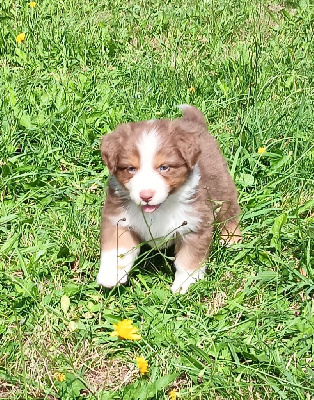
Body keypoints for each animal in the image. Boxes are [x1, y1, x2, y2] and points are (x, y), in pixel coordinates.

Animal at [97, 105, 242, 294]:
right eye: (131, 168)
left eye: (164, 167)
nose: (146, 195)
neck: (160, 208)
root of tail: (194, 123)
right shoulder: (119, 219)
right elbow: (117, 250)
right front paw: (110, 275)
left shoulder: (194, 225)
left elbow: (188, 261)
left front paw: (184, 285)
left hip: (222, 186)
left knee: (230, 211)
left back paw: (231, 239)